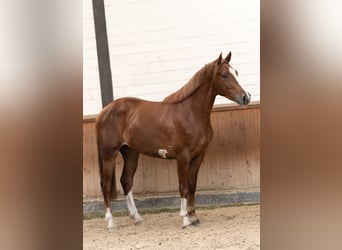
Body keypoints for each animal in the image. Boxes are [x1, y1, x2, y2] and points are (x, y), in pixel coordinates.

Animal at [96, 52, 251, 229]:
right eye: (224, 75)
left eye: (236, 72)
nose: (245, 97)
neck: (190, 113)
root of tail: (104, 111)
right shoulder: (182, 157)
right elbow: (183, 186)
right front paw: (185, 219)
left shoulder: (198, 156)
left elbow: (192, 185)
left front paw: (193, 216)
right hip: (109, 155)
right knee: (106, 185)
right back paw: (110, 222)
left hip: (130, 153)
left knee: (126, 181)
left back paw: (136, 217)